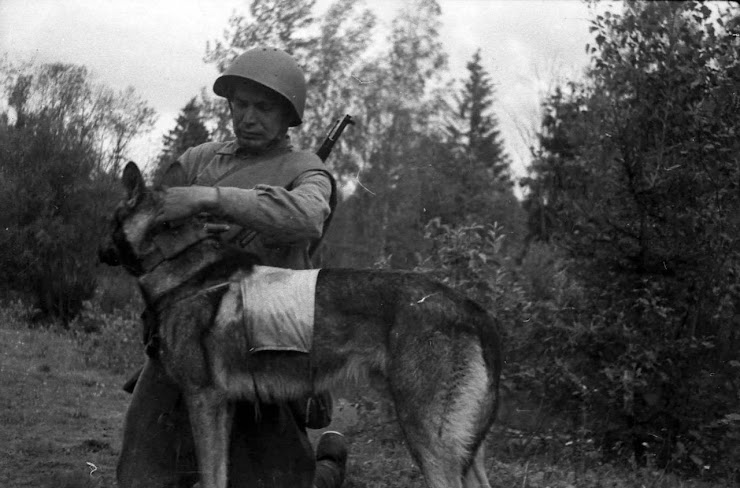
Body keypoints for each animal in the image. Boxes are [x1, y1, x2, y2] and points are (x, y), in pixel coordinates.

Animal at [99, 163, 502, 488]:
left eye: (111, 221)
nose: (101, 254)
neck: (178, 259)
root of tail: (472, 309)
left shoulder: (203, 399)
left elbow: (212, 477)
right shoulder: (221, 405)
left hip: (429, 439)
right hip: (464, 449)